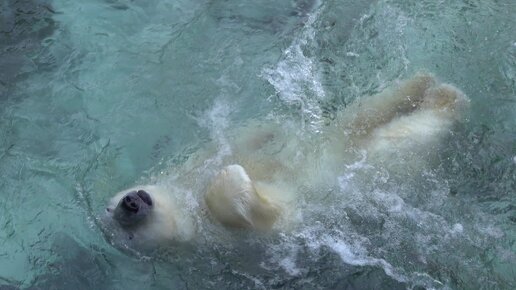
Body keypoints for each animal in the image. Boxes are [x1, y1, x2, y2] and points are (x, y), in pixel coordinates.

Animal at [105, 72, 472, 245]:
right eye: (126, 232)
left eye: (111, 207)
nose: (130, 203)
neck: (188, 203)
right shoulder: (242, 236)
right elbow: (274, 211)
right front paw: (230, 179)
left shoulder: (194, 165)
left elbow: (246, 141)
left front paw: (269, 133)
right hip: (392, 157)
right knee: (404, 133)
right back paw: (447, 97)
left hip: (346, 130)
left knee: (368, 110)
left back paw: (424, 81)